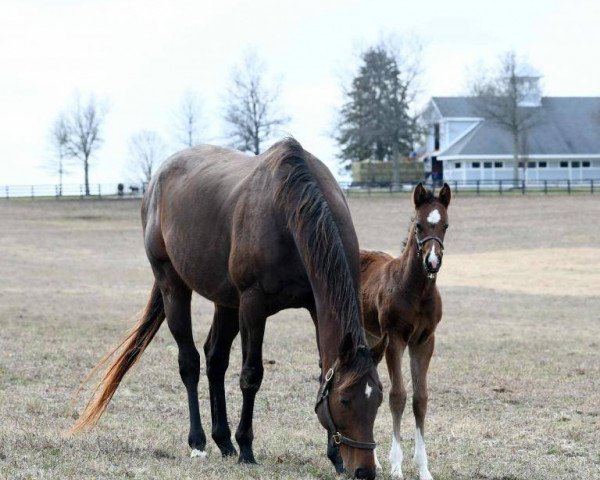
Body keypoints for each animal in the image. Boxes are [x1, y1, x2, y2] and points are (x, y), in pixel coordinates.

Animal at [360, 184, 450, 480]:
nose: (432, 261)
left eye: (446, 225)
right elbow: (397, 396)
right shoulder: (396, 339)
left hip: (371, 337)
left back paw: (373, 460)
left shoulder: (424, 341)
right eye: (419, 225)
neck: (417, 291)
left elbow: (420, 399)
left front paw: (423, 468)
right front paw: (396, 466)